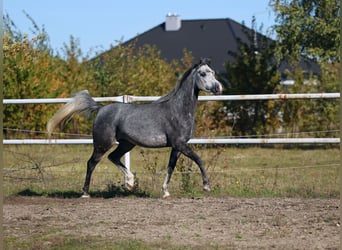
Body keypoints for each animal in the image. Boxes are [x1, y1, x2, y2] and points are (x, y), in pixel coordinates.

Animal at [47, 58, 222, 197]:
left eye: (213, 72)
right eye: (203, 73)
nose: (219, 88)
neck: (178, 109)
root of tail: (101, 108)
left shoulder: (177, 147)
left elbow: (170, 168)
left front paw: (165, 192)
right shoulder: (179, 144)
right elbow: (199, 159)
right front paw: (206, 187)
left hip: (126, 144)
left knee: (113, 157)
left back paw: (130, 183)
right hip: (103, 143)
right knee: (91, 163)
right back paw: (85, 193)